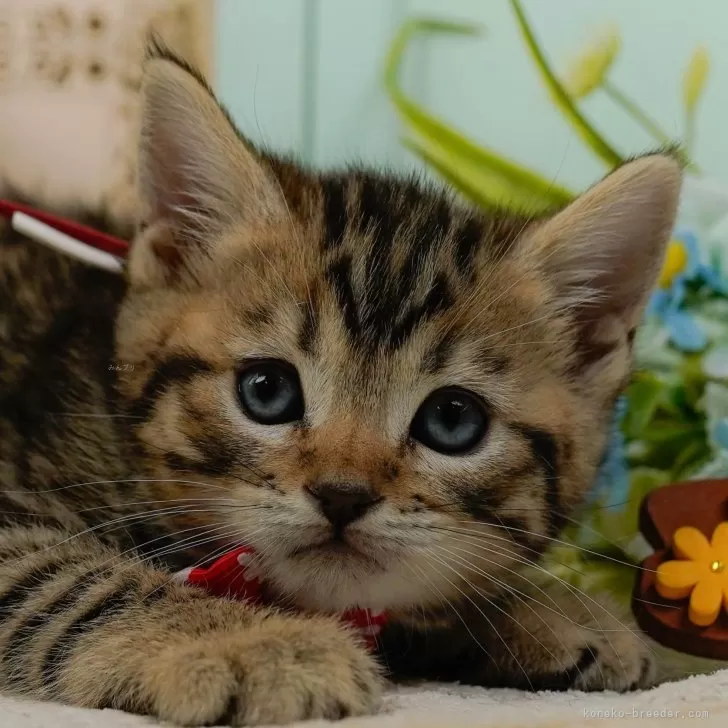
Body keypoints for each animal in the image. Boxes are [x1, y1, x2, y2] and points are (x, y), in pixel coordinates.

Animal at [0, 48, 684, 724]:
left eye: (453, 420)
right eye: (267, 390)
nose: (342, 495)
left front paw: (543, 611)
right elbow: (65, 576)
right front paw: (251, 641)